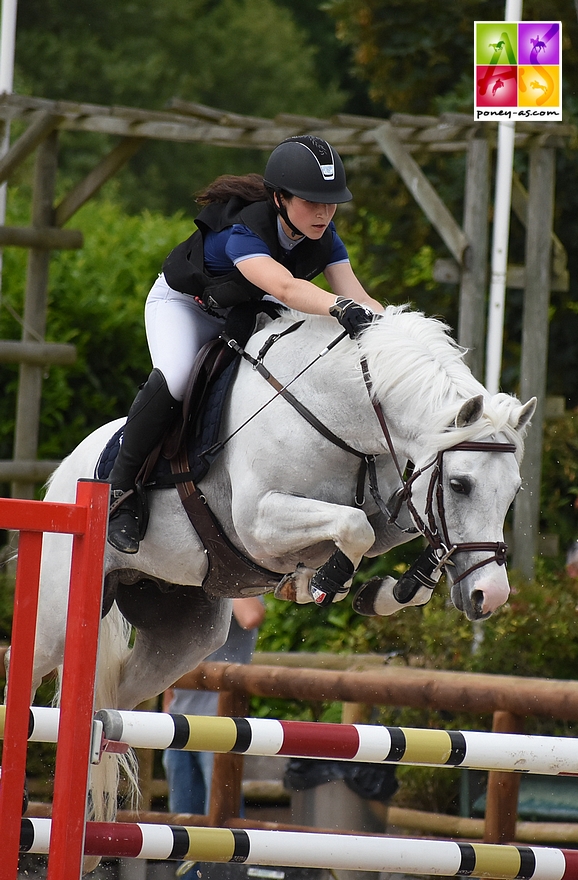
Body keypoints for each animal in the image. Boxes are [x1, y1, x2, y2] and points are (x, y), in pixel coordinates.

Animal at [11, 306, 532, 844]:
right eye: (460, 484)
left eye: (514, 490)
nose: (490, 596)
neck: (343, 413)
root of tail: (65, 477)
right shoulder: (260, 522)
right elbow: (355, 526)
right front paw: (324, 583)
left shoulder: (392, 500)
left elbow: (395, 528)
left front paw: (382, 592)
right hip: (60, 618)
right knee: (27, 673)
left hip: (184, 634)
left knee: (114, 704)